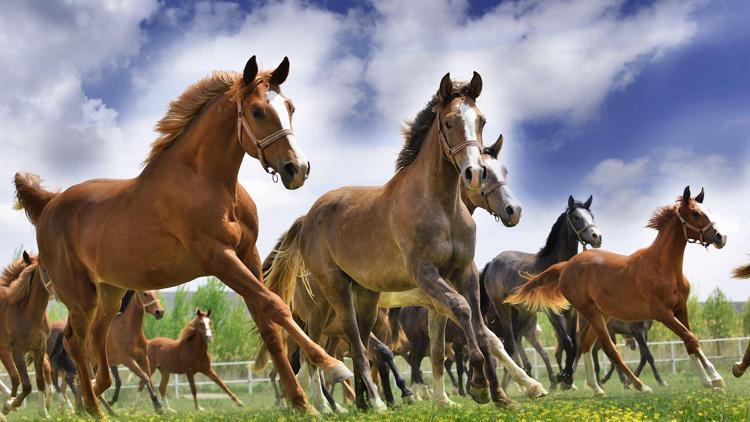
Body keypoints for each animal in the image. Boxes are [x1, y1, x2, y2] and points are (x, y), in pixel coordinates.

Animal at [0, 252, 51, 418]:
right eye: (44, 269)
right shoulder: (16, 350)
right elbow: (25, 383)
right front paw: (9, 405)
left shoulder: (39, 348)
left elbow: (40, 380)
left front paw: (43, 412)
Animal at [12, 53, 352, 416]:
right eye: (258, 111)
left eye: (290, 107)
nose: (297, 169)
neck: (207, 181)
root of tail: (49, 205)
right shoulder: (218, 258)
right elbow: (276, 306)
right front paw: (332, 366)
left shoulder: (248, 255)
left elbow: (268, 324)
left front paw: (302, 403)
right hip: (80, 295)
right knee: (77, 342)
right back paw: (94, 408)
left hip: (110, 292)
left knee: (97, 339)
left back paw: (95, 392)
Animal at [270, 71, 524, 408]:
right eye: (449, 122)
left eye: (481, 120)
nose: (474, 173)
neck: (441, 206)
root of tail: (307, 217)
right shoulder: (426, 275)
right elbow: (463, 312)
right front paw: (481, 385)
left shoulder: (463, 272)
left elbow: (477, 333)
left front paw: (494, 395)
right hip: (332, 297)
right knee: (335, 347)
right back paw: (344, 405)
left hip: (365, 297)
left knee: (354, 345)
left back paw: (363, 402)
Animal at [484, 195, 604, 390]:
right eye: (577, 217)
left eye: (592, 216)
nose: (597, 237)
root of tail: (493, 261)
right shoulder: (552, 313)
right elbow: (567, 342)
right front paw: (563, 377)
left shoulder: (571, 312)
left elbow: (574, 344)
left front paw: (566, 377)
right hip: (504, 310)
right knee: (509, 343)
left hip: (525, 312)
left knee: (516, 338)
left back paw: (526, 377)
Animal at [508, 186, 732, 394]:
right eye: (695, 213)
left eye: (708, 210)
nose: (721, 237)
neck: (662, 267)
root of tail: (567, 265)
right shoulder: (663, 314)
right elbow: (690, 338)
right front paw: (716, 379)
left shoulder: (680, 309)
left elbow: (689, 342)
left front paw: (707, 382)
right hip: (591, 313)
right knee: (608, 349)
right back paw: (639, 385)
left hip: (601, 314)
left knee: (586, 344)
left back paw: (596, 388)